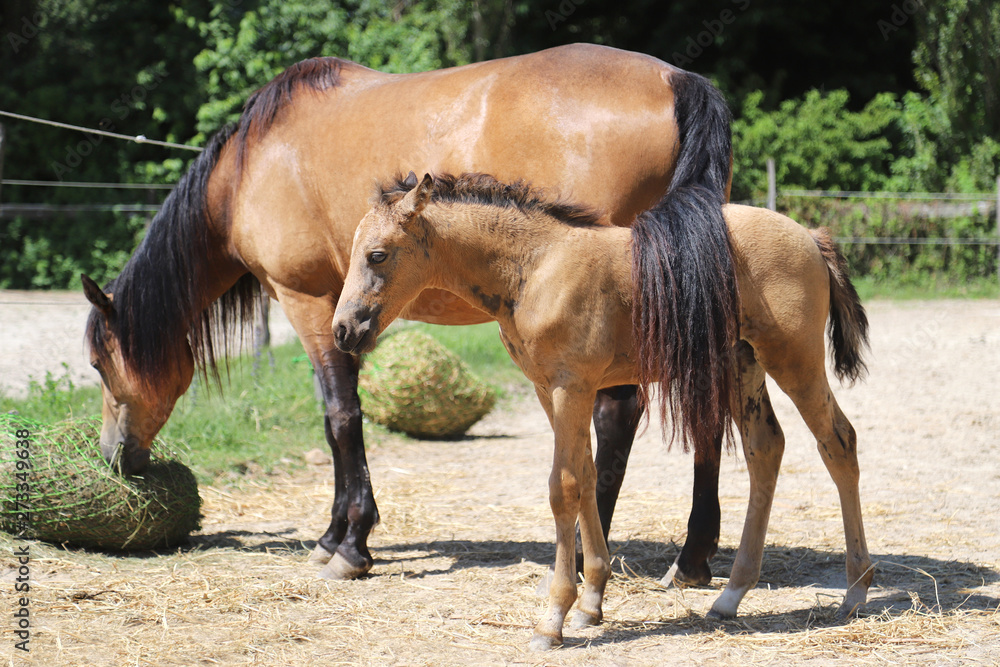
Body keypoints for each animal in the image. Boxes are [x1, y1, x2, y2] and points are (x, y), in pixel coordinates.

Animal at [81, 43, 739, 584]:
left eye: (98, 363)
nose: (112, 457)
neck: (250, 165)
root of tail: (676, 79)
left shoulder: (308, 303)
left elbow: (340, 418)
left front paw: (348, 544)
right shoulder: (346, 312)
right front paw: (336, 534)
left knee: (617, 414)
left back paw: (585, 551)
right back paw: (692, 558)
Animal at [331, 172, 872, 650]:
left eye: (377, 254)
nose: (342, 330)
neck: (536, 267)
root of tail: (811, 237)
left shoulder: (571, 387)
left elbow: (564, 487)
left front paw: (553, 618)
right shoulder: (550, 390)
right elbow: (587, 475)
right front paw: (591, 600)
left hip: (793, 358)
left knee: (838, 442)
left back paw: (855, 592)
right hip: (742, 363)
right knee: (766, 448)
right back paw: (731, 596)